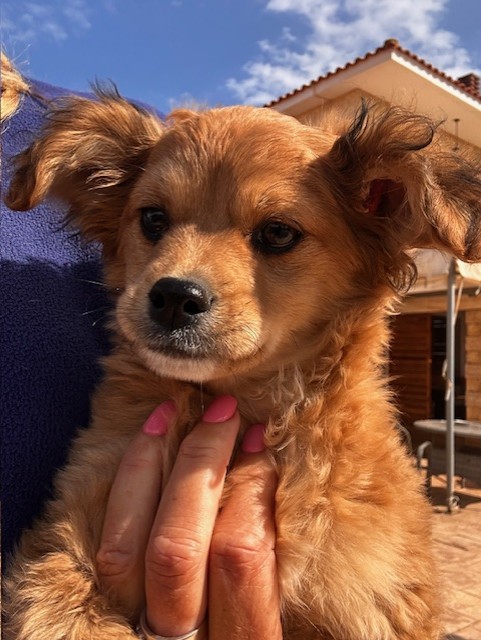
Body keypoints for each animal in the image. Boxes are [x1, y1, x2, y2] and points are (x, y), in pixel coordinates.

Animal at [4, 87, 481, 639]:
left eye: (277, 233)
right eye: (152, 219)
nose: (173, 297)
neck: (244, 403)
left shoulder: (371, 600)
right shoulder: (64, 541)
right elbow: (65, 613)